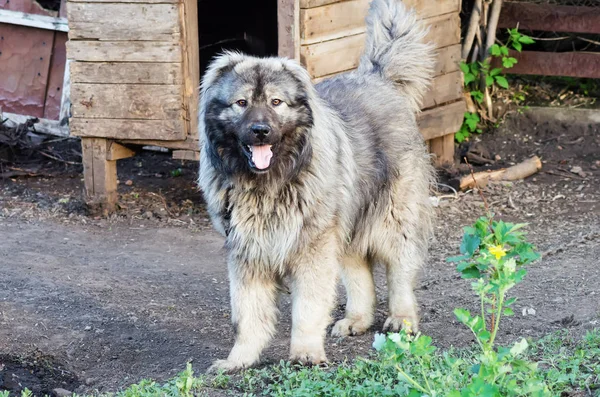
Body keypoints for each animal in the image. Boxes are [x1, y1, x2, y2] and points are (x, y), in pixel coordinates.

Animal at [197, 0, 436, 372]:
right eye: (242, 103)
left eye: (276, 102)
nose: (261, 131)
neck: (269, 184)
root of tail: (377, 77)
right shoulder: (248, 252)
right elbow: (249, 315)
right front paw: (239, 360)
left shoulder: (312, 248)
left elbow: (307, 308)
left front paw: (306, 352)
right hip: (346, 225)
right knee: (360, 273)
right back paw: (356, 320)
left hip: (393, 220)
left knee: (400, 274)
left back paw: (402, 320)